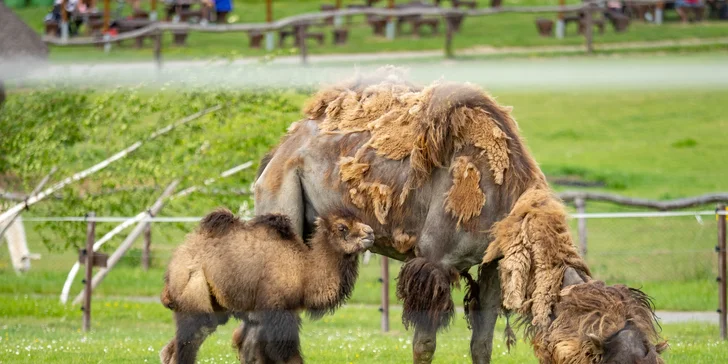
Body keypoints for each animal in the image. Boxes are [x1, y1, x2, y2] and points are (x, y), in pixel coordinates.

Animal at [160, 208, 376, 364]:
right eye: (342, 228)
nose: (371, 232)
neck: (303, 272)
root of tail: (176, 258)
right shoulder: (277, 311)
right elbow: (288, 356)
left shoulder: (263, 318)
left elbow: (259, 354)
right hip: (192, 290)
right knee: (187, 344)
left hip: (214, 306)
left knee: (178, 346)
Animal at [255, 67, 664, 362]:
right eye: (624, 360)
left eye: (654, 356)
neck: (503, 193)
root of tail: (279, 150)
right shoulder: (433, 262)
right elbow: (424, 345)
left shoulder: (495, 263)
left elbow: (482, 343)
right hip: (281, 198)